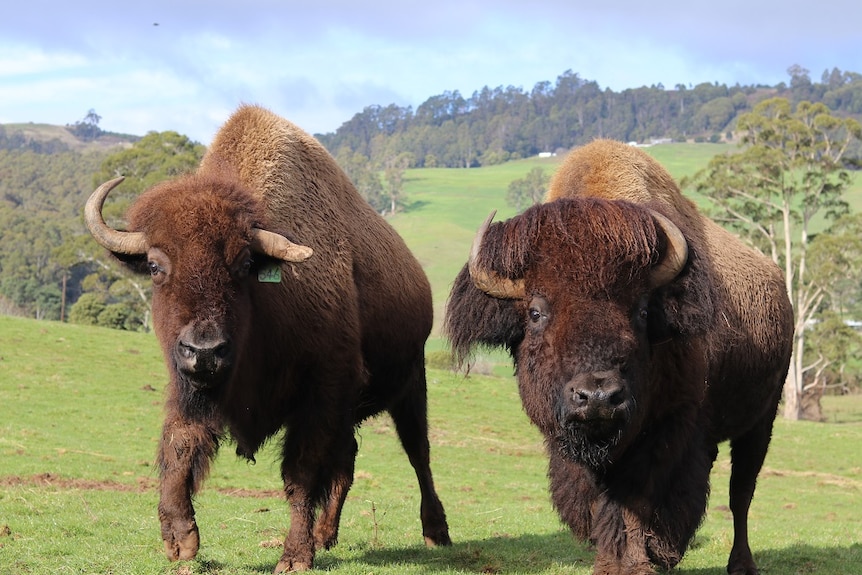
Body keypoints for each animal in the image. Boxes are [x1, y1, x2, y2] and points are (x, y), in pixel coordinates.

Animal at [85, 106, 452, 572]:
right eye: (153, 265)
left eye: (244, 264)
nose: (205, 351)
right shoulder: (189, 385)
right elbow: (178, 445)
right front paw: (180, 540)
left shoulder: (322, 390)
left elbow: (300, 474)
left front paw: (294, 557)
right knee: (349, 459)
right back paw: (326, 534)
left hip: (410, 384)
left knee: (418, 453)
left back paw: (435, 532)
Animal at [448, 140, 792, 575]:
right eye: (535, 312)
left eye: (643, 311)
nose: (598, 397)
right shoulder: (570, 448)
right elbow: (599, 504)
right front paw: (611, 561)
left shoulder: (667, 430)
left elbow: (637, 502)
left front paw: (638, 562)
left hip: (761, 420)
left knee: (741, 492)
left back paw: (740, 564)